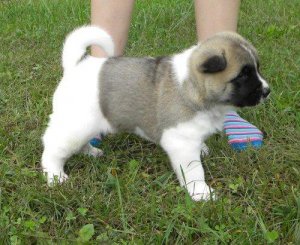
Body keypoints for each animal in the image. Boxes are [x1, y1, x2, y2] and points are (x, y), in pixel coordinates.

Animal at [41, 25, 270, 201]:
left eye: (257, 69)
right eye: (243, 75)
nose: (267, 91)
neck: (193, 87)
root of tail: (76, 64)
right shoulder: (181, 143)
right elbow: (194, 171)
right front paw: (200, 193)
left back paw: (89, 151)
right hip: (76, 125)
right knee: (53, 147)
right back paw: (55, 175)